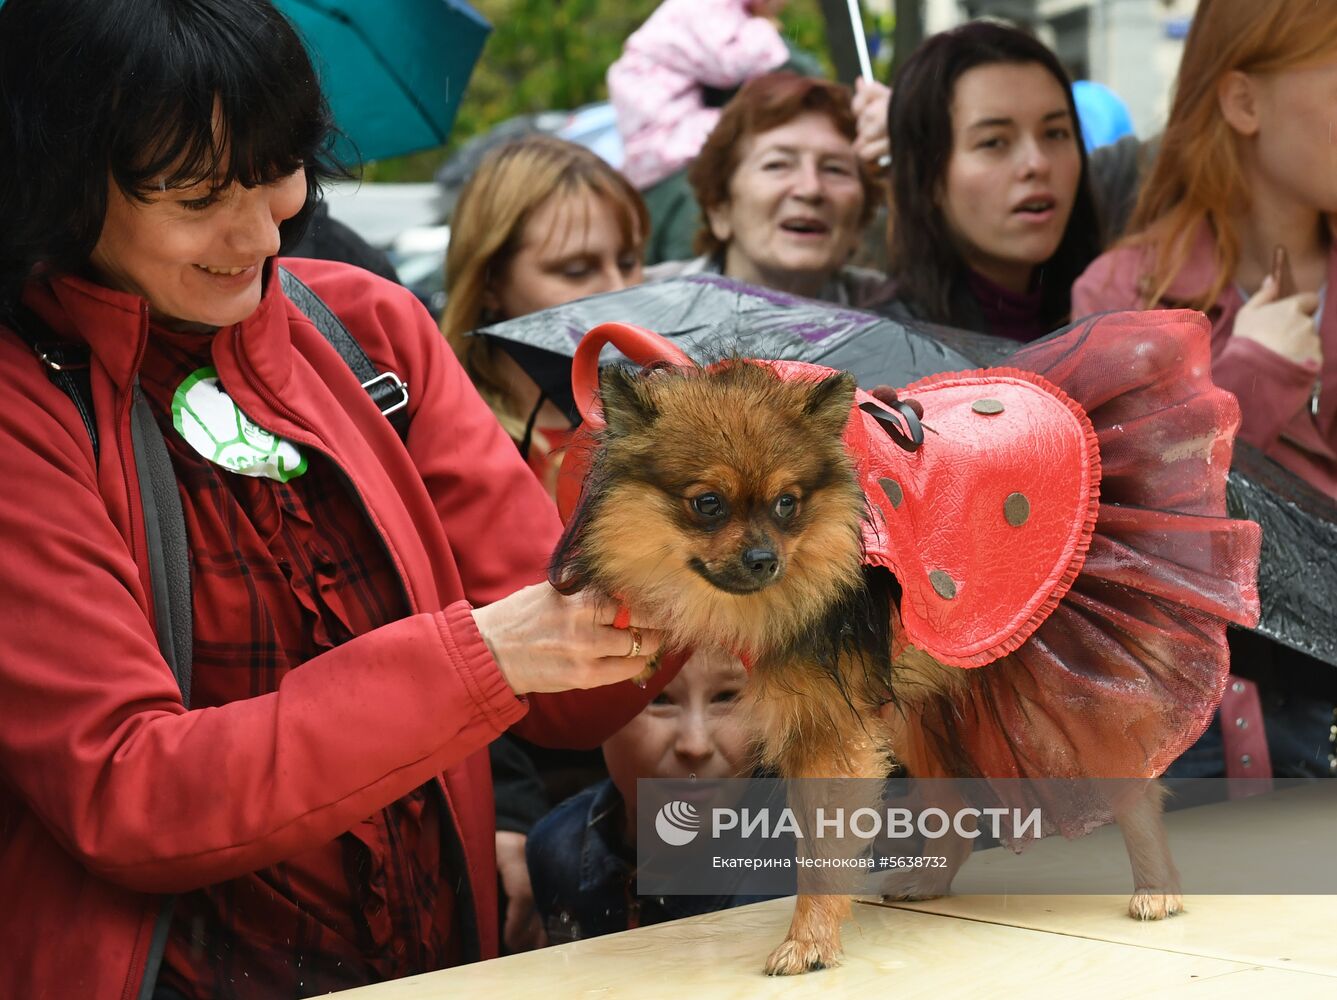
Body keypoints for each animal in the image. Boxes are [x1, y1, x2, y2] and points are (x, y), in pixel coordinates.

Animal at [548, 358, 1187, 978]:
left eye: (787, 503)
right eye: (708, 504)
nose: (763, 559)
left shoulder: (828, 730)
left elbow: (821, 854)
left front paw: (809, 941)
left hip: (1057, 694)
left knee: (1132, 782)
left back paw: (1158, 888)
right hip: (918, 709)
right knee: (953, 808)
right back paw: (930, 880)